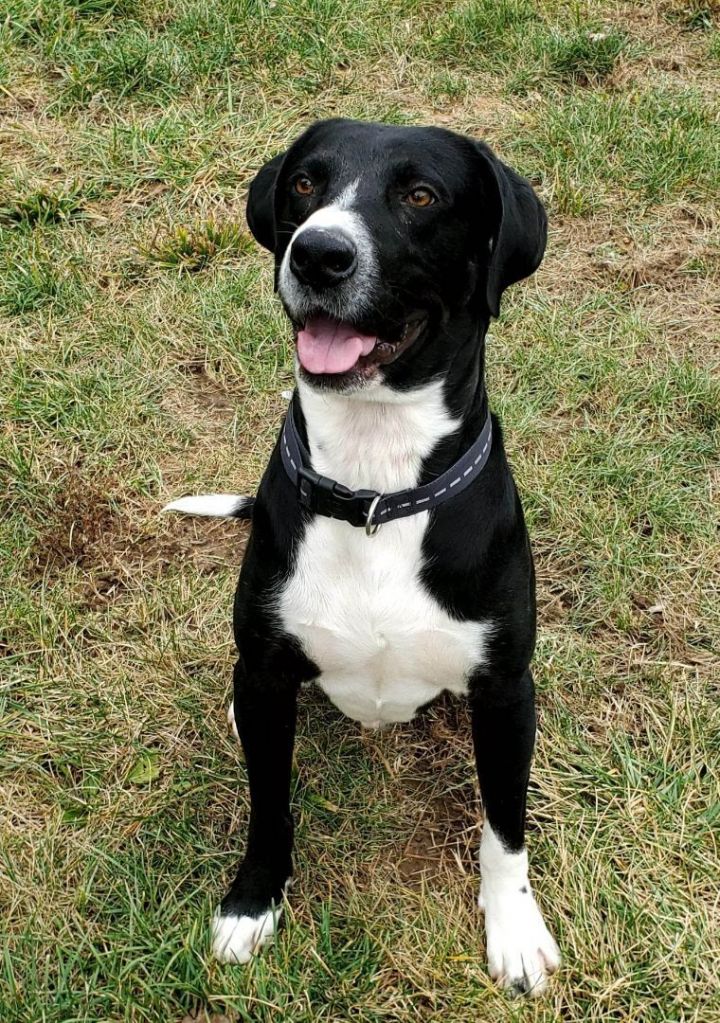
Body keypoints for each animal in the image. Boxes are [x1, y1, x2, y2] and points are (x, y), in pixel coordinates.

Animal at [164, 116, 564, 994]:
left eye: (420, 195)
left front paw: (515, 929)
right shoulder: (268, 674)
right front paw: (253, 901)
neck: (376, 485)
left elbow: (505, 827)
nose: (318, 253)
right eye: (305, 183)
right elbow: (269, 802)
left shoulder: (506, 690)